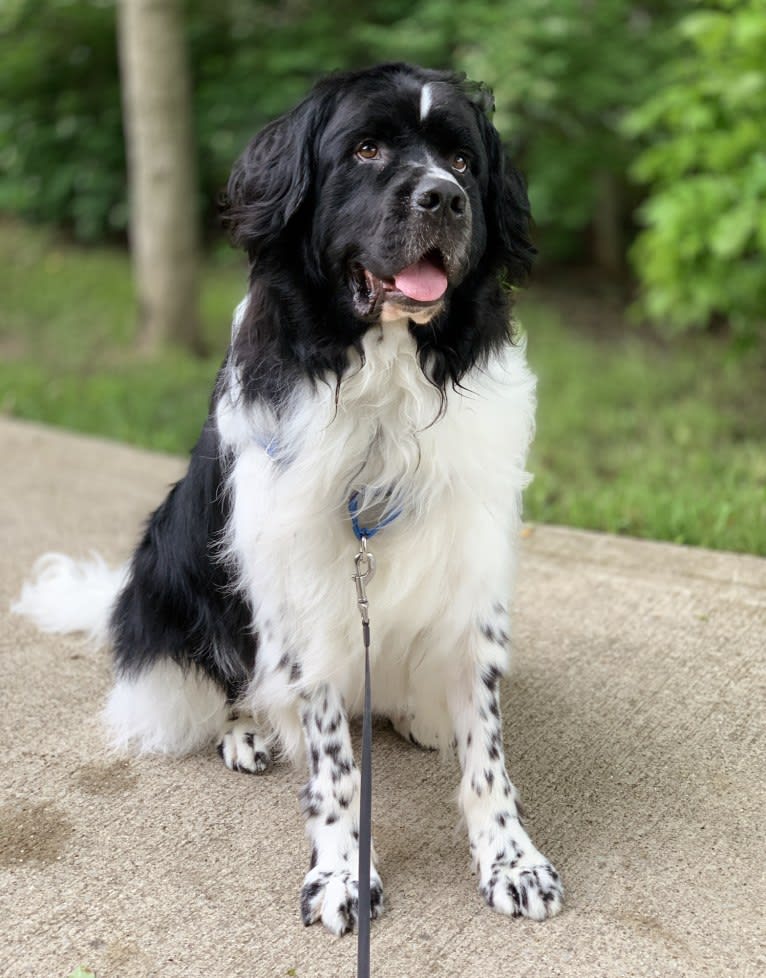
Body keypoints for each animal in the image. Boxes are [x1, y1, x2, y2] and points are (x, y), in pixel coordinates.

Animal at [13, 59, 564, 932]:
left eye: (463, 160)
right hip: (170, 565)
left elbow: (487, 747)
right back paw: (247, 733)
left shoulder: (470, 568)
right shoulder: (305, 587)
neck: (386, 379)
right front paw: (341, 871)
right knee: (232, 682)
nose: (444, 198)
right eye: (367, 149)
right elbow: (335, 762)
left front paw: (510, 856)